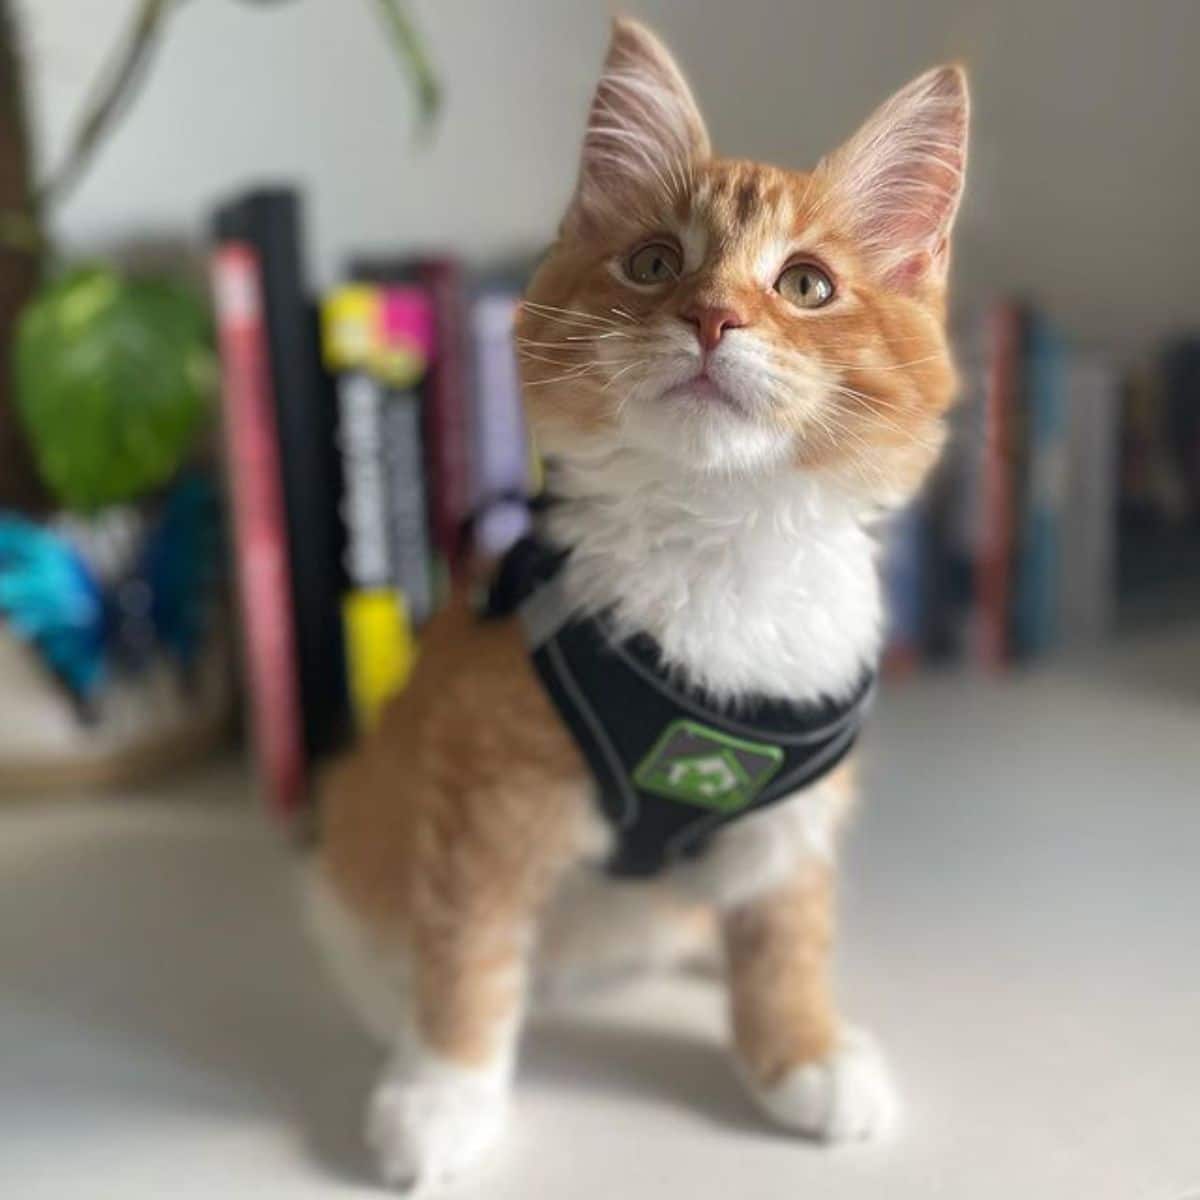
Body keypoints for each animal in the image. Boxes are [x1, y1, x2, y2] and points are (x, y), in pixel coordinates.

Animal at [309, 18, 964, 1190]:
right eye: (655, 263)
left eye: (806, 285)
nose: (711, 317)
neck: (719, 541)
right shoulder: (486, 789)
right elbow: (467, 947)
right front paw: (444, 1089)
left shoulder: (797, 807)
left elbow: (787, 938)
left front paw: (800, 1053)